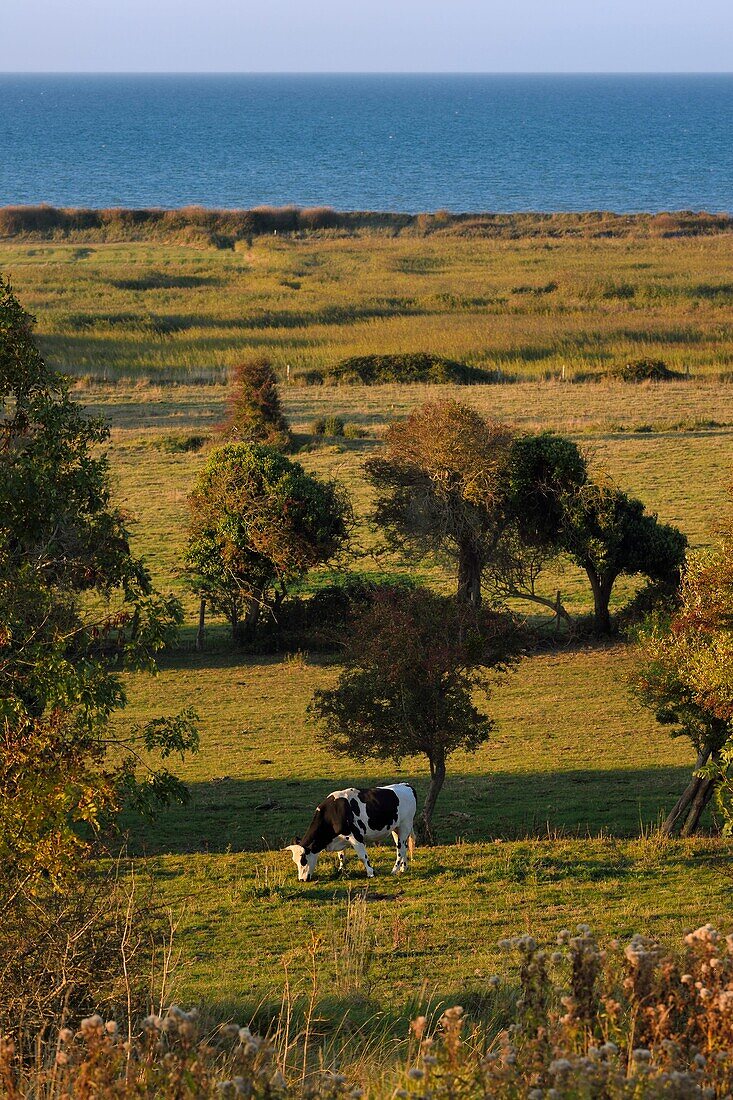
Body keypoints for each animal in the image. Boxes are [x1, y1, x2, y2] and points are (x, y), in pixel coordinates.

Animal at [281, 787, 413, 880]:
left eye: (303, 860)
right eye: (295, 861)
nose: (301, 880)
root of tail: (406, 785)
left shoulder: (355, 837)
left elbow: (363, 856)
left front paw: (370, 873)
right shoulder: (340, 838)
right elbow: (341, 856)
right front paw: (341, 870)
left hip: (405, 826)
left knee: (401, 849)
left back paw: (394, 870)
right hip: (396, 829)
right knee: (404, 847)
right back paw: (404, 868)